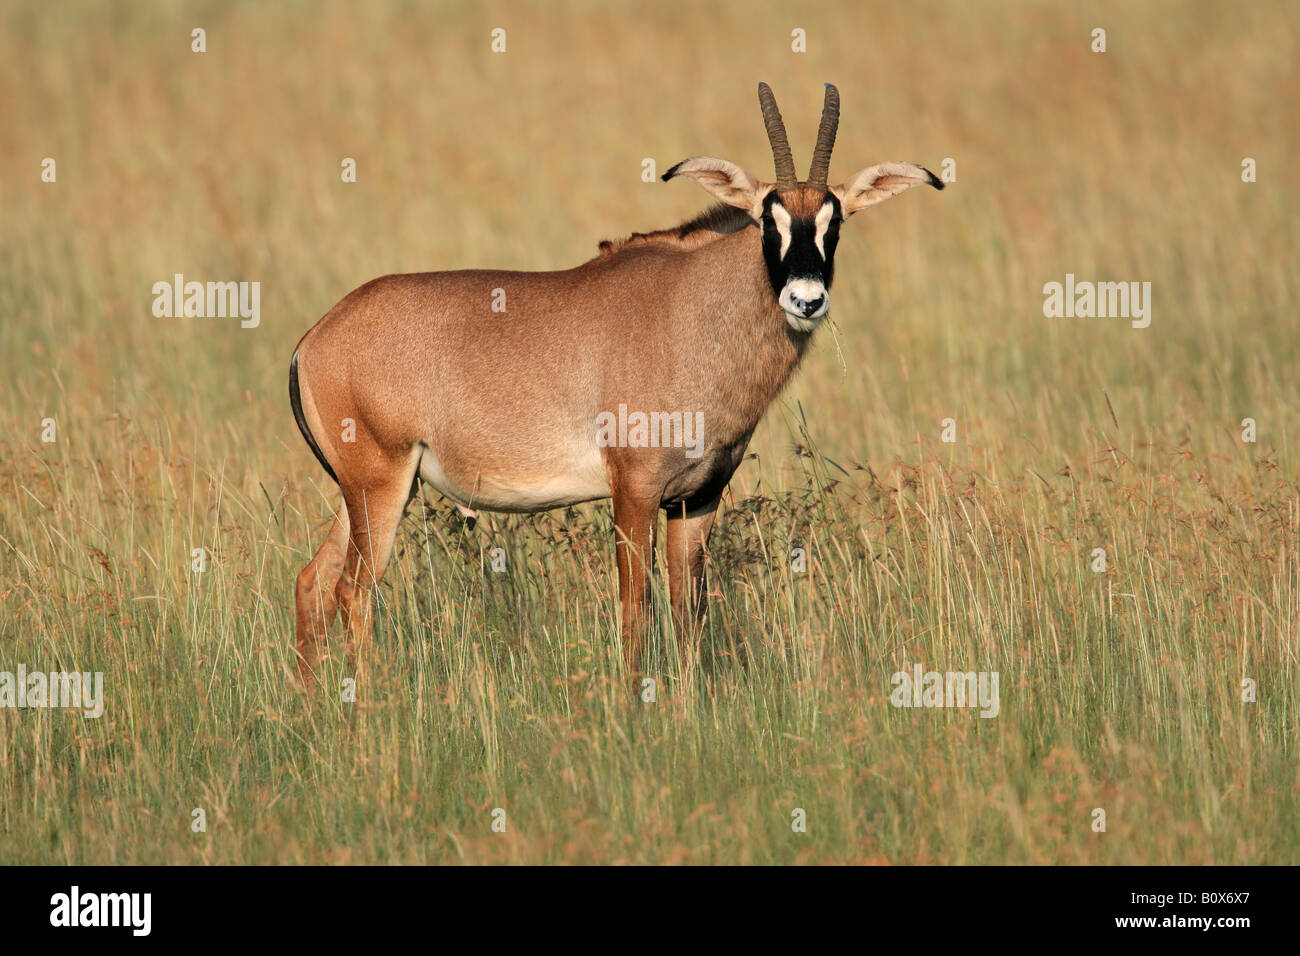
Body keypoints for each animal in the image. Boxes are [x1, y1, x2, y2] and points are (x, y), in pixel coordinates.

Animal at [292, 78, 946, 686]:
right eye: (769, 217)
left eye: (836, 221)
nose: (806, 299)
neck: (691, 307)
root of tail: (313, 340)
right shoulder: (633, 491)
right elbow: (637, 609)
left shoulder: (696, 498)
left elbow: (688, 613)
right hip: (381, 486)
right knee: (354, 591)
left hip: (367, 494)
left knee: (312, 582)